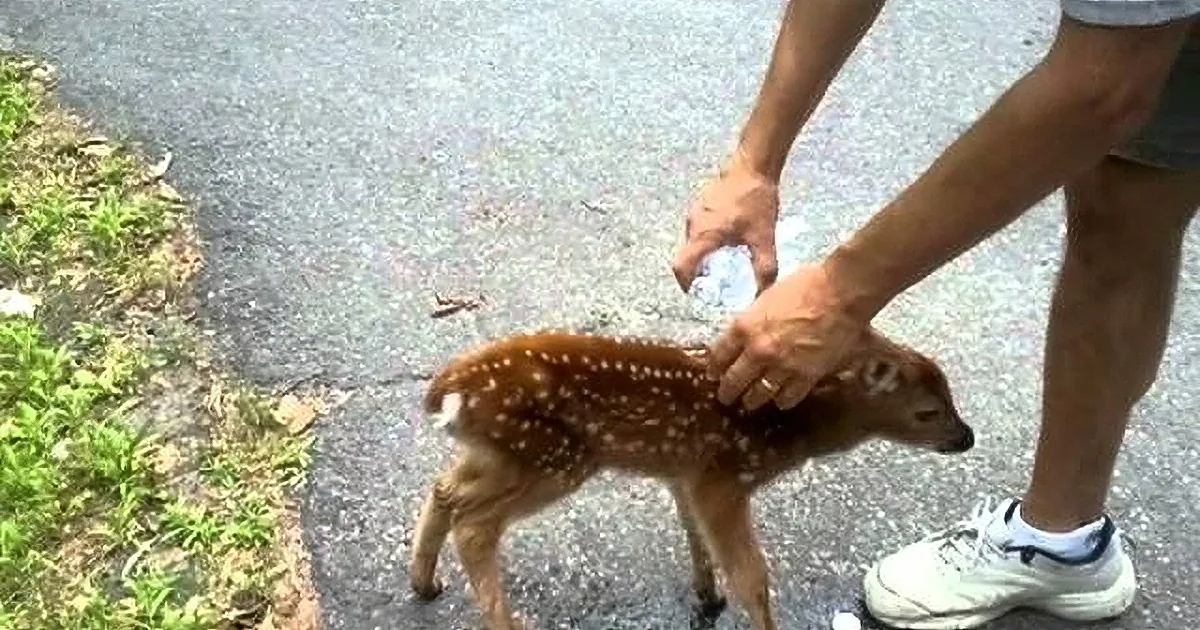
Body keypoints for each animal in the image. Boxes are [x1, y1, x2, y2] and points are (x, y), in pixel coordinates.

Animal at [407, 327, 974, 630]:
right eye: (927, 412)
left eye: (951, 394)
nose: (966, 437)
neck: (788, 425)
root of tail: (449, 392)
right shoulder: (723, 476)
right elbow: (752, 575)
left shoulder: (685, 471)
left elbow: (693, 532)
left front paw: (707, 594)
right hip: (555, 459)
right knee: (474, 526)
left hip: (504, 454)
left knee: (444, 491)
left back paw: (425, 582)